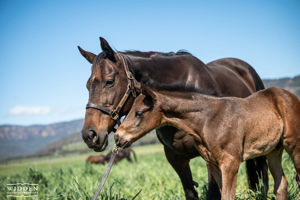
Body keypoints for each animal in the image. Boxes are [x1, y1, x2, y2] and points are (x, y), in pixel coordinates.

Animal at [77, 37, 268, 198]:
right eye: (87, 85)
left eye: (109, 81)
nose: (89, 135)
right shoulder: (176, 158)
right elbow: (190, 193)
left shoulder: (212, 158)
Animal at [115, 85, 300, 199]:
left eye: (139, 113)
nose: (117, 137)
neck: (207, 120)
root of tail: (290, 96)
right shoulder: (213, 164)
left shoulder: (230, 163)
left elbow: (228, 196)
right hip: (273, 150)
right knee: (281, 185)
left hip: (294, 145)